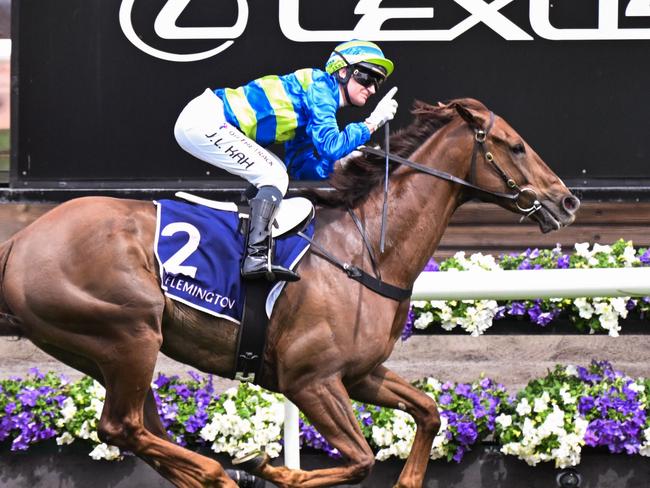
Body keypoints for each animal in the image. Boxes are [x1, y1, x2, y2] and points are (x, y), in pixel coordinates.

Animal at [0, 97, 576, 486]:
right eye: (517, 146)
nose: (567, 201)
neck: (367, 251)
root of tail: (19, 242)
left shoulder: (359, 374)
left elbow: (429, 412)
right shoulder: (310, 380)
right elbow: (360, 459)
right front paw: (268, 467)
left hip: (108, 350)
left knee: (141, 428)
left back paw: (207, 475)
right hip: (127, 333)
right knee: (120, 426)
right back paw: (219, 473)